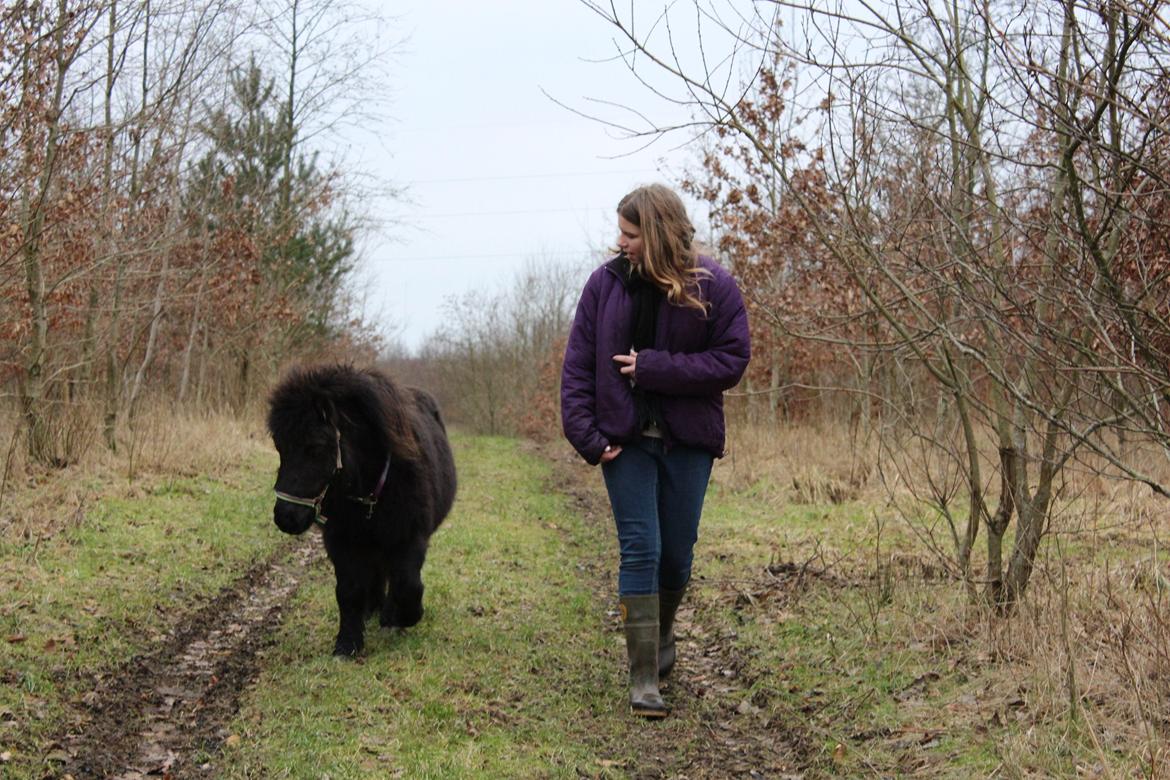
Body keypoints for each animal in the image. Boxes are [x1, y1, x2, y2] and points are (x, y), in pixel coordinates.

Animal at [269, 362, 456, 654]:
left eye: (316, 447)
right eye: (280, 447)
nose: (286, 517)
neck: (369, 487)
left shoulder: (410, 537)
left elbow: (408, 585)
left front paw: (402, 617)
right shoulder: (341, 541)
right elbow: (349, 591)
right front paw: (348, 643)